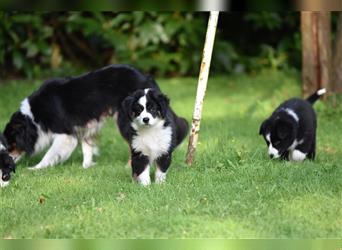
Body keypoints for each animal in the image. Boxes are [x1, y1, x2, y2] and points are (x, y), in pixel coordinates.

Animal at [3, 64, 160, 170]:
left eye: (11, 145)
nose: (7, 163)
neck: (32, 118)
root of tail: (146, 77)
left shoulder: (65, 133)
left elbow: (50, 153)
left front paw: (36, 168)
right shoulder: (85, 126)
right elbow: (87, 147)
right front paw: (86, 167)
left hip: (124, 119)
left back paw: (129, 166)